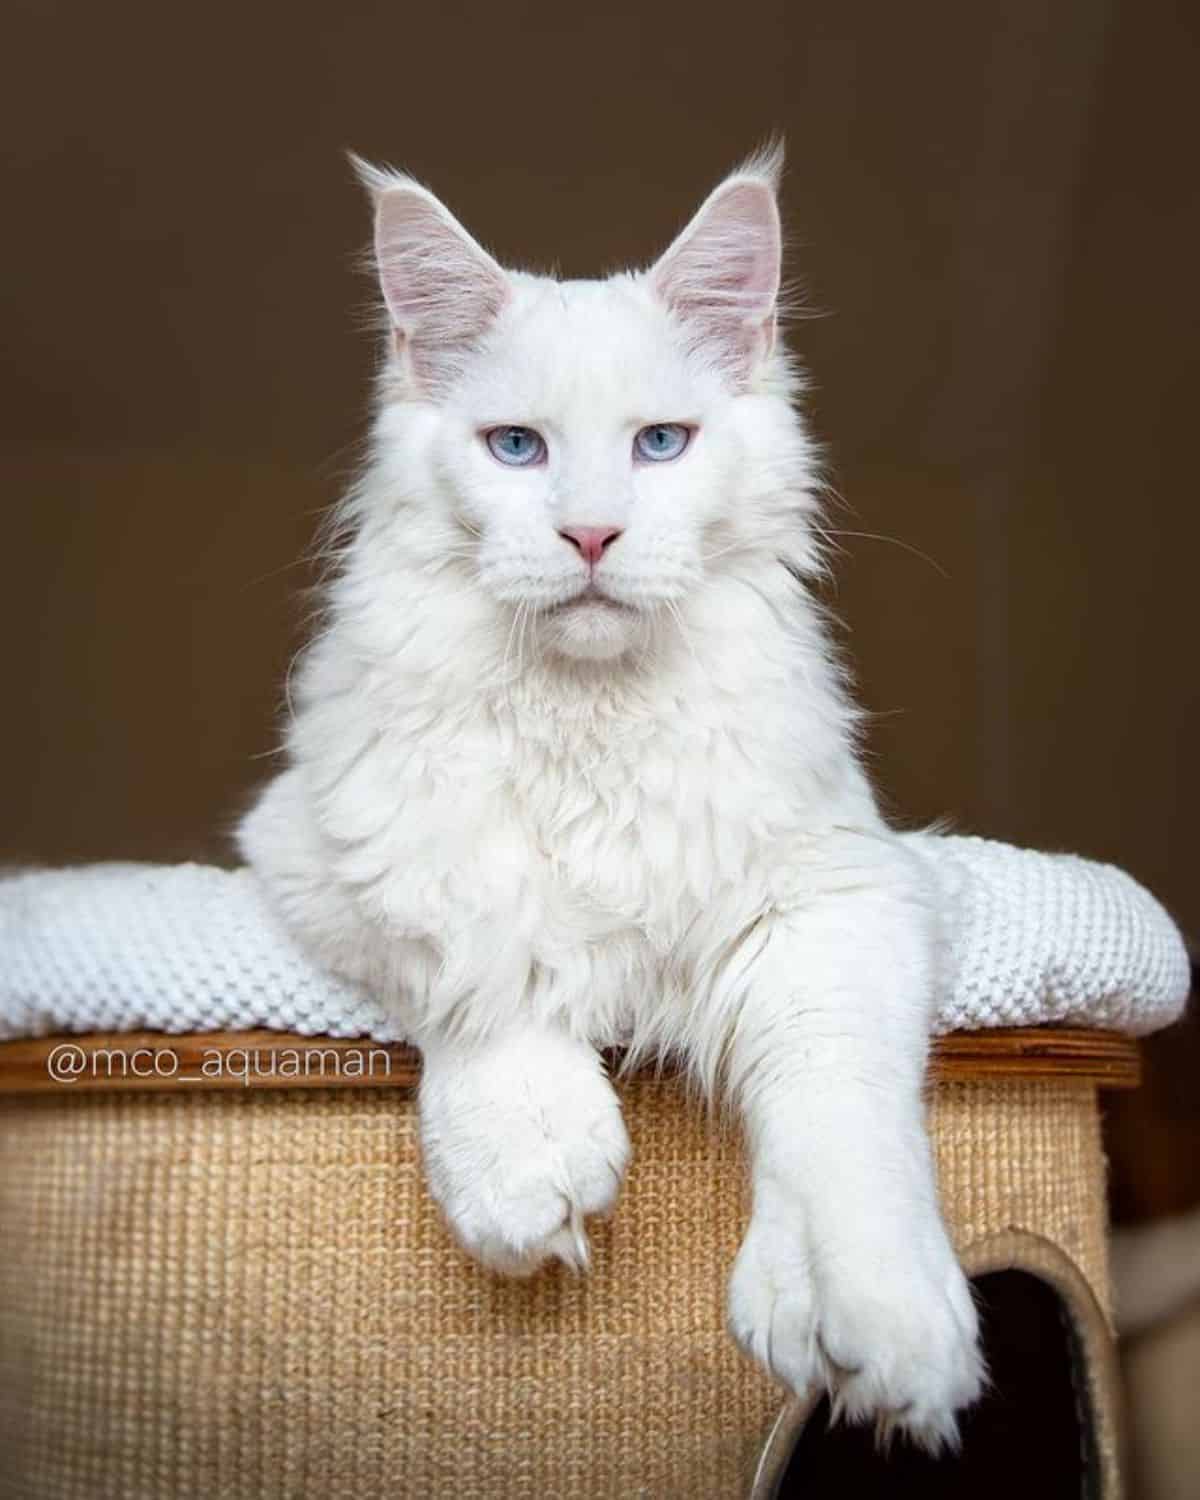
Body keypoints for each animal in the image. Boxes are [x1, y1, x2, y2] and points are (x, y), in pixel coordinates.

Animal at [241, 146, 984, 1446]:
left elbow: (838, 1112)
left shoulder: (837, 895)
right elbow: (481, 974)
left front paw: (871, 1324)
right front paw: (525, 1163)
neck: (588, 719)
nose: (591, 534)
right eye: (516, 449)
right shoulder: (328, 844)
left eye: (661, 445)